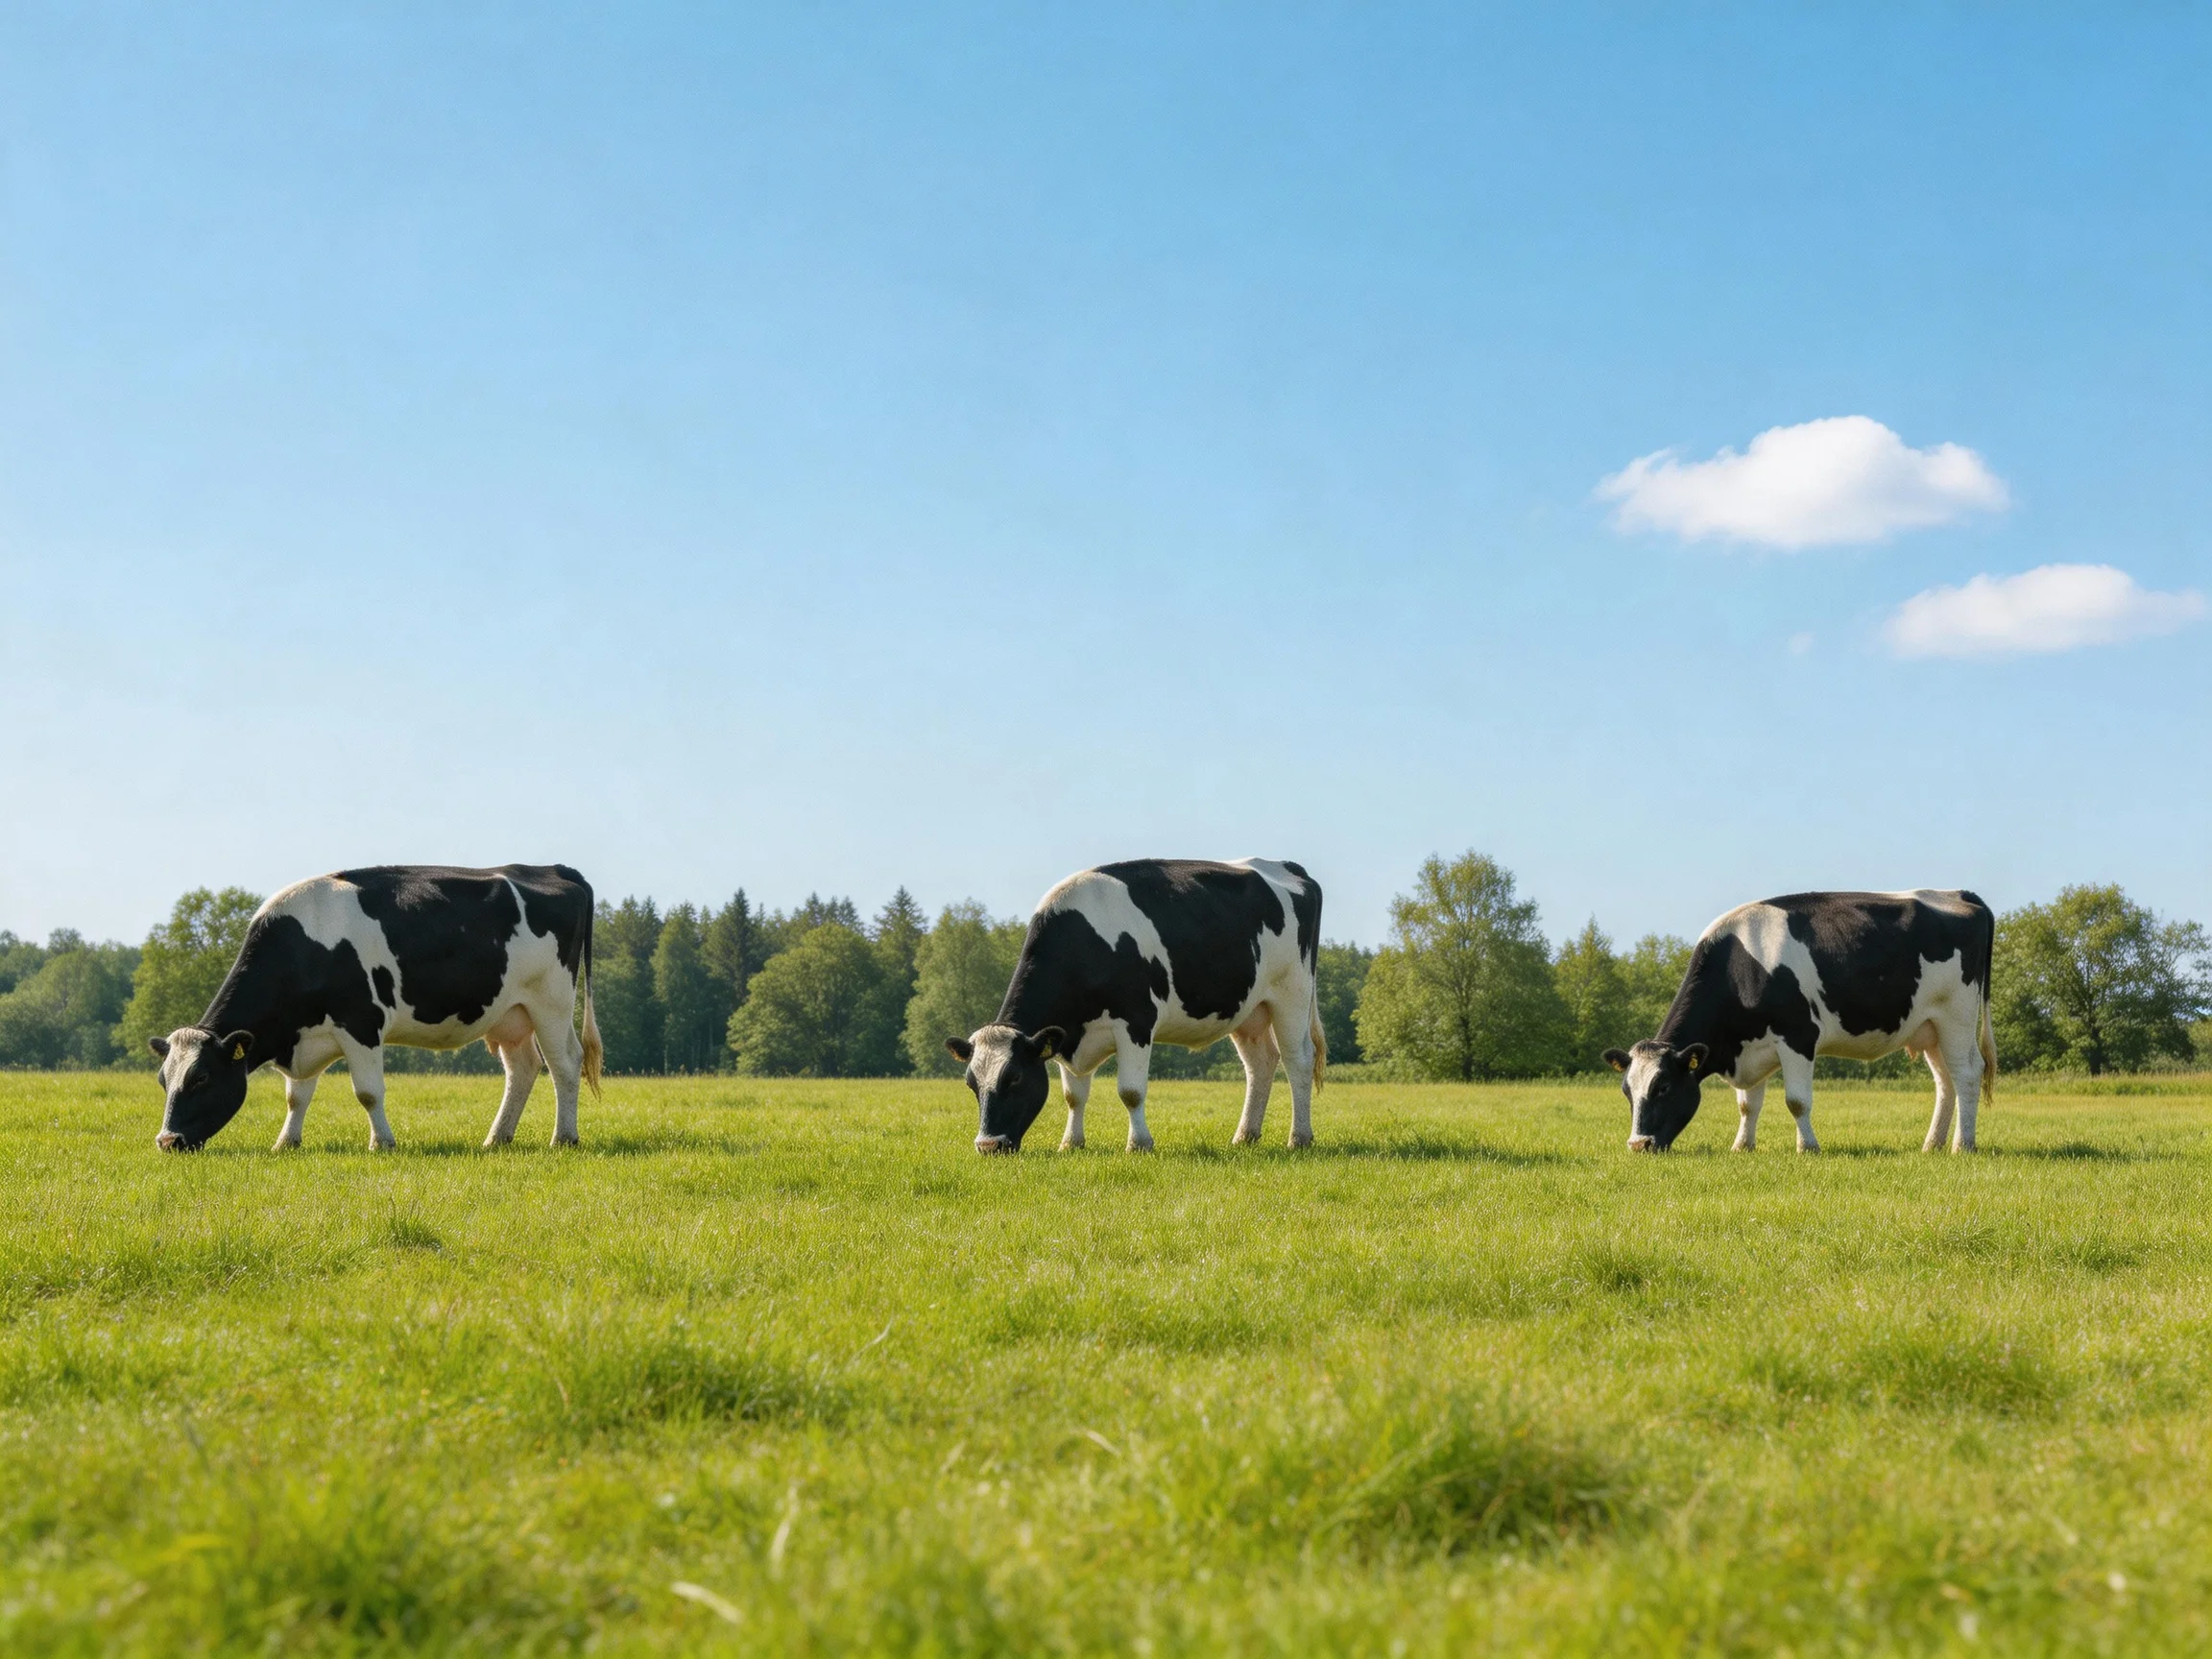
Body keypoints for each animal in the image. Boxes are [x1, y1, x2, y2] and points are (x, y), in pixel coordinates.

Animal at [147, 864, 601, 1153]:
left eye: (202, 1077)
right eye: (162, 1080)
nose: (167, 1141)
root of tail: (553, 869)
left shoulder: (361, 1023)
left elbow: (367, 1092)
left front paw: (382, 1142)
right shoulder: (305, 1037)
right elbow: (297, 1097)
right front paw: (286, 1143)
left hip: (552, 1002)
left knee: (565, 1064)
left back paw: (564, 1138)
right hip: (511, 1013)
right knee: (523, 1068)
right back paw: (496, 1139)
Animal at [946, 858, 1325, 1154]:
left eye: (1015, 1078)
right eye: (971, 1083)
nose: (988, 1145)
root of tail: (1287, 866)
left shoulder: (1136, 1022)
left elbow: (1130, 1092)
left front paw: (1139, 1143)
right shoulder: (1068, 1034)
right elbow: (1073, 1095)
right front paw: (1071, 1143)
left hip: (1292, 993)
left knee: (1297, 1061)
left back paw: (1299, 1137)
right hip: (1249, 1008)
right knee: (1260, 1063)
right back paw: (1245, 1136)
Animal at [1603, 889, 1996, 1155]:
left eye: (1664, 1087)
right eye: (1626, 1091)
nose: (1638, 1145)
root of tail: (1956, 893)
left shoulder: (1798, 1036)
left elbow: (1796, 1101)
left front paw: (1808, 1147)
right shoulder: (1750, 1045)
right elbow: (1748, 1104)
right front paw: (1742, 1146)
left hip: (1957, 1016)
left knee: (1967, 1074)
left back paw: (1963, 1145)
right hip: (1930, 1027)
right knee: (1945, 1081)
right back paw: (1932, 1144)